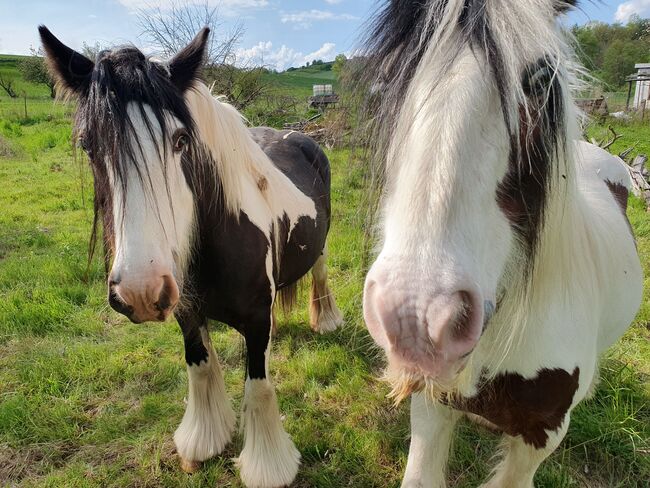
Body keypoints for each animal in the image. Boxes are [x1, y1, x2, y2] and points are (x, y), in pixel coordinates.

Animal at [39, 26, 342, 488]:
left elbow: (258, 385)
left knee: (321, 274)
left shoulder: (255, 321)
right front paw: (204, 441)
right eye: (89, 145)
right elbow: (199, 367)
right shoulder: (186, 312)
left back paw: (325, 320)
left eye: (181, 140)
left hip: (321, 245)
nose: (141, 290)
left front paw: (268, 466)